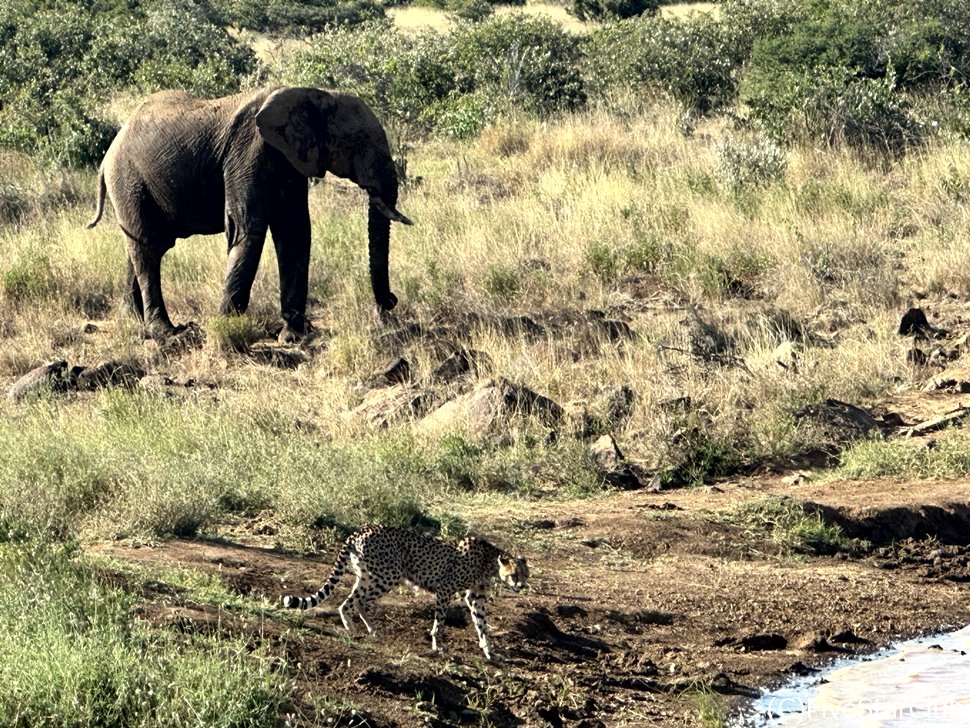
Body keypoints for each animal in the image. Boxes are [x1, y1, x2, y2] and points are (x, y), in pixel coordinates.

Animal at [84, 86, 412, 342]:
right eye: (358, 143)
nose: (389, 303)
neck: (316, 94)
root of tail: (107, 156)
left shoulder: (290, 162)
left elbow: (295, 233)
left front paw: (294, 336)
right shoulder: (248, 154)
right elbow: (247, 230)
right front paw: (227, 328)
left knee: (141, 247)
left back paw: (133, 321)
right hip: (128, 181)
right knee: (148, 249)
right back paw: (166, 332)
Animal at [280, 528, 524, 664]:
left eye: (525, 574)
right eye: (513, 574)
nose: (521, 586)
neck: (489, 561)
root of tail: (364, 529)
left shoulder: (475, 598)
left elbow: (482, 626)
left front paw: (490, 653)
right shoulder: (445, 589)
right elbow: (440, 621)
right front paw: (437, 646)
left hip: (369, 575)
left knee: (351, 601)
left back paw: (366, 629)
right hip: (389, 574)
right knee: (357, 601)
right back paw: (355, 629)